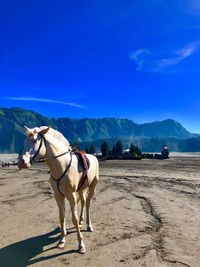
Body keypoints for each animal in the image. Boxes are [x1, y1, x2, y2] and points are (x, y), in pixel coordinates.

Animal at [18, 126, 99, 254]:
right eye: (25, 142)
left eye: (35, 141)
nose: (22, 162)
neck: (62, 165)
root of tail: (94, 157)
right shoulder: (58, 196)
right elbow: (62, 217)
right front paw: (62, 240)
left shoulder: (71, 196)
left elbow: (74, 219)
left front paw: (81, 244)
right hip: (82, 189)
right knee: (83, 202)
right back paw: (82, 221)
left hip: (92, 186)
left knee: (88, 204)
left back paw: (89, 225)